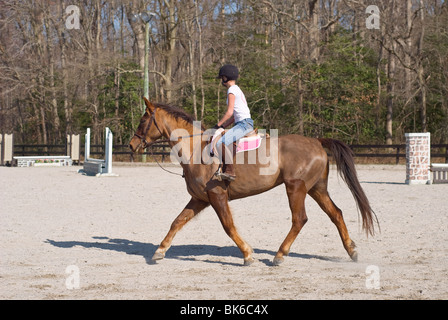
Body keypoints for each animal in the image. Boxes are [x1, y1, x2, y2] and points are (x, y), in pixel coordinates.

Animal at [130, 97, 378, 264]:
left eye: (143, 120)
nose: (132, 145)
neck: (195, 149)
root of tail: (316, 141)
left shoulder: (216, 195)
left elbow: (228, 226)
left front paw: (248, 255)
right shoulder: (200, 198)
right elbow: (177, 222)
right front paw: (159, 251)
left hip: (295, 187)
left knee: (300, 219)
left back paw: (280, 254)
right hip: (316, 188)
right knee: (336, 213)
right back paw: (352, 251)